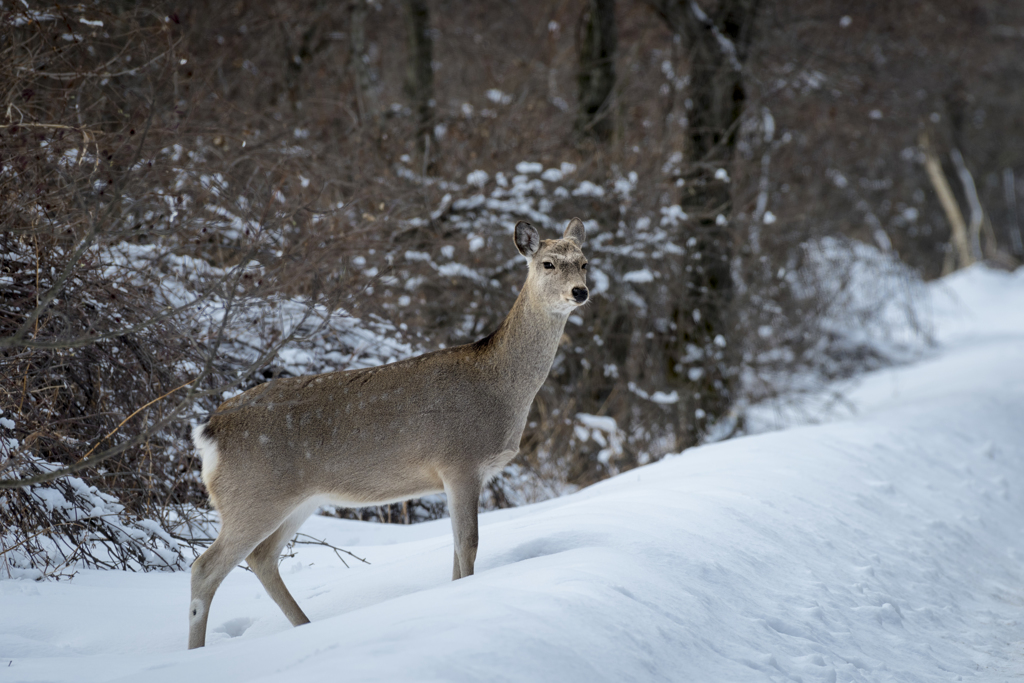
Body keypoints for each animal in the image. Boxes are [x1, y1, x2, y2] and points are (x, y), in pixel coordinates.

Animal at [190, 216, 593, 651]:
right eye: (548, 263)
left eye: (584, 262)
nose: (580, 291)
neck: (501, 385)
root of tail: (209, 431)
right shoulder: (460, 462)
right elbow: (467, 546)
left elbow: (455, 551)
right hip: (253, 495)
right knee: (204, 567)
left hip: (296, 499)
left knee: (262, 558)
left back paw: (306, 627)